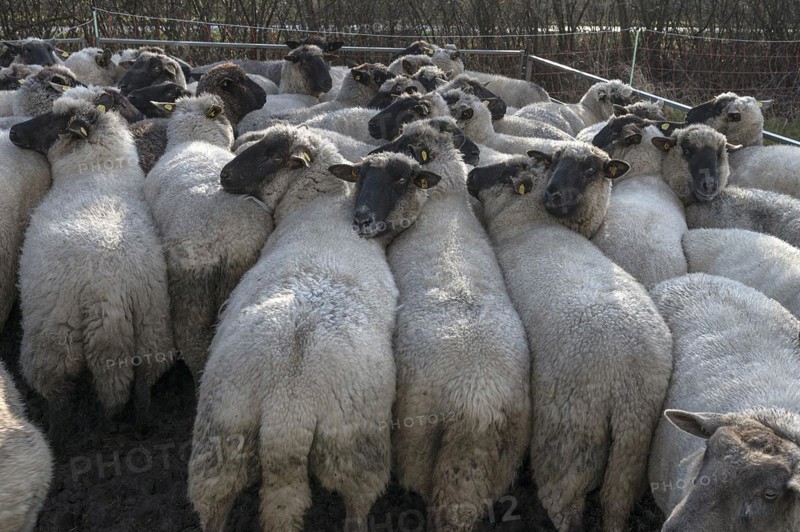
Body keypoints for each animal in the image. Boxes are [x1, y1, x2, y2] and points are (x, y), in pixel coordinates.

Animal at [9, 95, 175, 449]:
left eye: (52, 121)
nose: (14, 131)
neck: (97, 173)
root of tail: (107, 294)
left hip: (53, 341)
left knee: (59, 396)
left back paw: (55, 439)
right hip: (152, 330)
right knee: (143, 384)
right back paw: (142, 426)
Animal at [189, 124, 397, 532]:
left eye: (272, 155)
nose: (224, 175)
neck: (319, 207)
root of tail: (287, 405)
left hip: (223, 440)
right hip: (347, 452)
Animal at [332, 118, 531, 530]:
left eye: (399, 178)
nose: (362, 220)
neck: (444, 201)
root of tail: (477, 410)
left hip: (419, 448)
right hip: (500, 462)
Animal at [467, 144, 673, 532]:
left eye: (510, 170)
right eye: (554, 162)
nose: (470, 175)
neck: (532, 224)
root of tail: (626, 383)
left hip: (568, 439)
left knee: (564, 505)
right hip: (632, 448)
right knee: (615, 504)